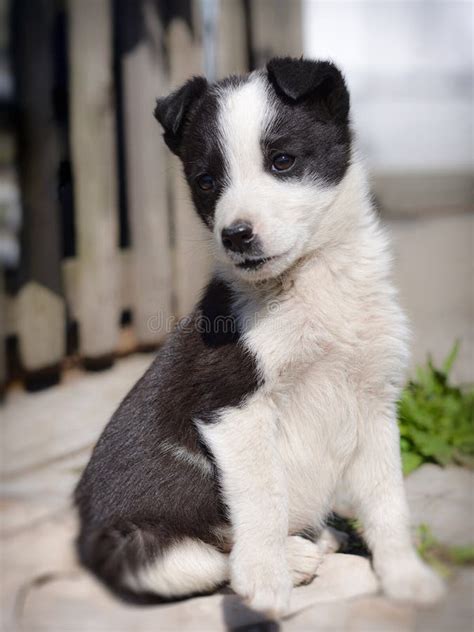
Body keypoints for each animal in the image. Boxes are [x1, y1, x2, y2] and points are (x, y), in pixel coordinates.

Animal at [75, 56, 444, 616]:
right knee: (202, 556)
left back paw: (319, 538)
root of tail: (85, 529)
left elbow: (389, 501)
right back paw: (293, 556)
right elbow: (264, 494)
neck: (311, 282)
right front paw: (267, 577)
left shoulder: (375, 402)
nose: (236, 235)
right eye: (207, 181)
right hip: (138, 545)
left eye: (283, 161)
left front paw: (406, 577)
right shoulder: (233, 405)